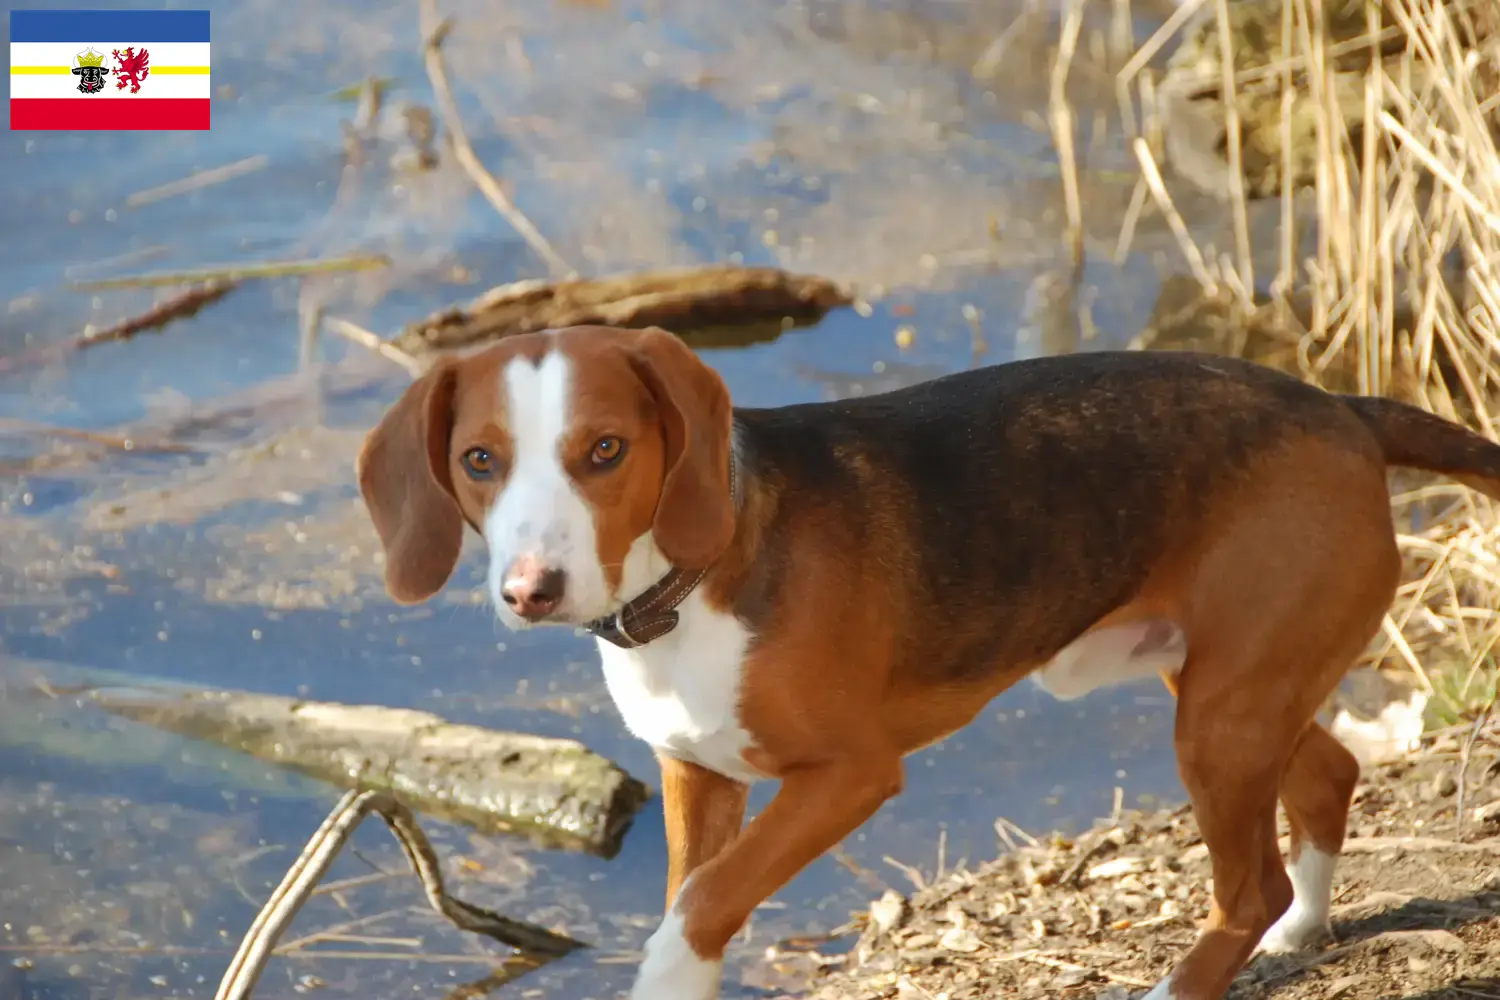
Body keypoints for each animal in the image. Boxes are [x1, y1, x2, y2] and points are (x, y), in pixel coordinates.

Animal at [354, 325, 1500, 995]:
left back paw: (1200, 972)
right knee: (1331, 776)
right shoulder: (698, 775)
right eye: (479, 461)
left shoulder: (850, 777)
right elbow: (696, 890)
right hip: (1228, 689)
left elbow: (702, 906)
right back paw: (1303, 930)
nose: (531, 590)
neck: (690, 585)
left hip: (1219, 722)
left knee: (1246, 883)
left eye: (605, 451)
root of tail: (1341, 409)